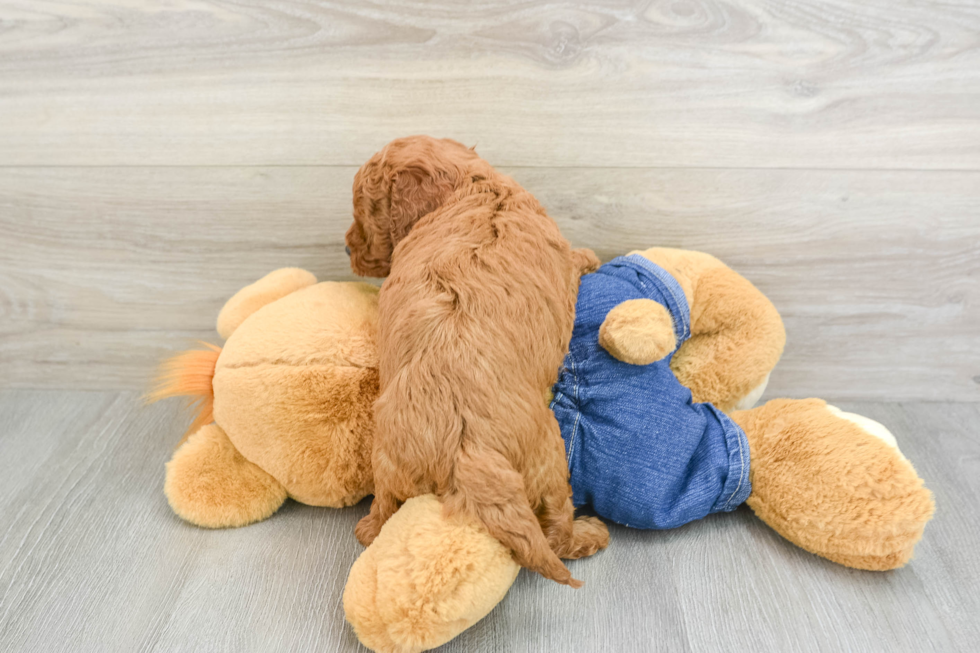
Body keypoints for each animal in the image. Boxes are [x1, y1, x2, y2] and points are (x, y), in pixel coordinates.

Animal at [344, 135, 604, 584]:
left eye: (365, 211)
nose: (347, 246)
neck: (474, 185)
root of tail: (467, 454)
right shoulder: (563, 264)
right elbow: (575, 258)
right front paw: (590, 255)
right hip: (551, 457)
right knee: (557, 530)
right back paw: (590, 535)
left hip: (388, 465)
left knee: (381, 514)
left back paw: (368, 526)